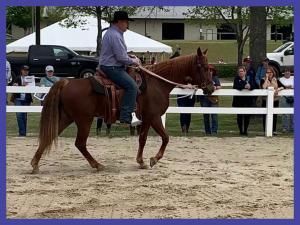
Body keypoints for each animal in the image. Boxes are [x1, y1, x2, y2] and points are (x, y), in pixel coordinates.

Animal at [30, 48, 213, 174]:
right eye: (203, 67)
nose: (211, 88)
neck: (157, 83)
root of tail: (66, 82)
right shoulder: (153, 117)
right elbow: (165, 138)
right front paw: (153, 159)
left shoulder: (147, 118)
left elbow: (143, 139)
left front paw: (141, 161)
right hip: (84, 120)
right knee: (80, 143)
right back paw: (97, 165)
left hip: (66, 117)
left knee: (49, 136)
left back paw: (35, 164)